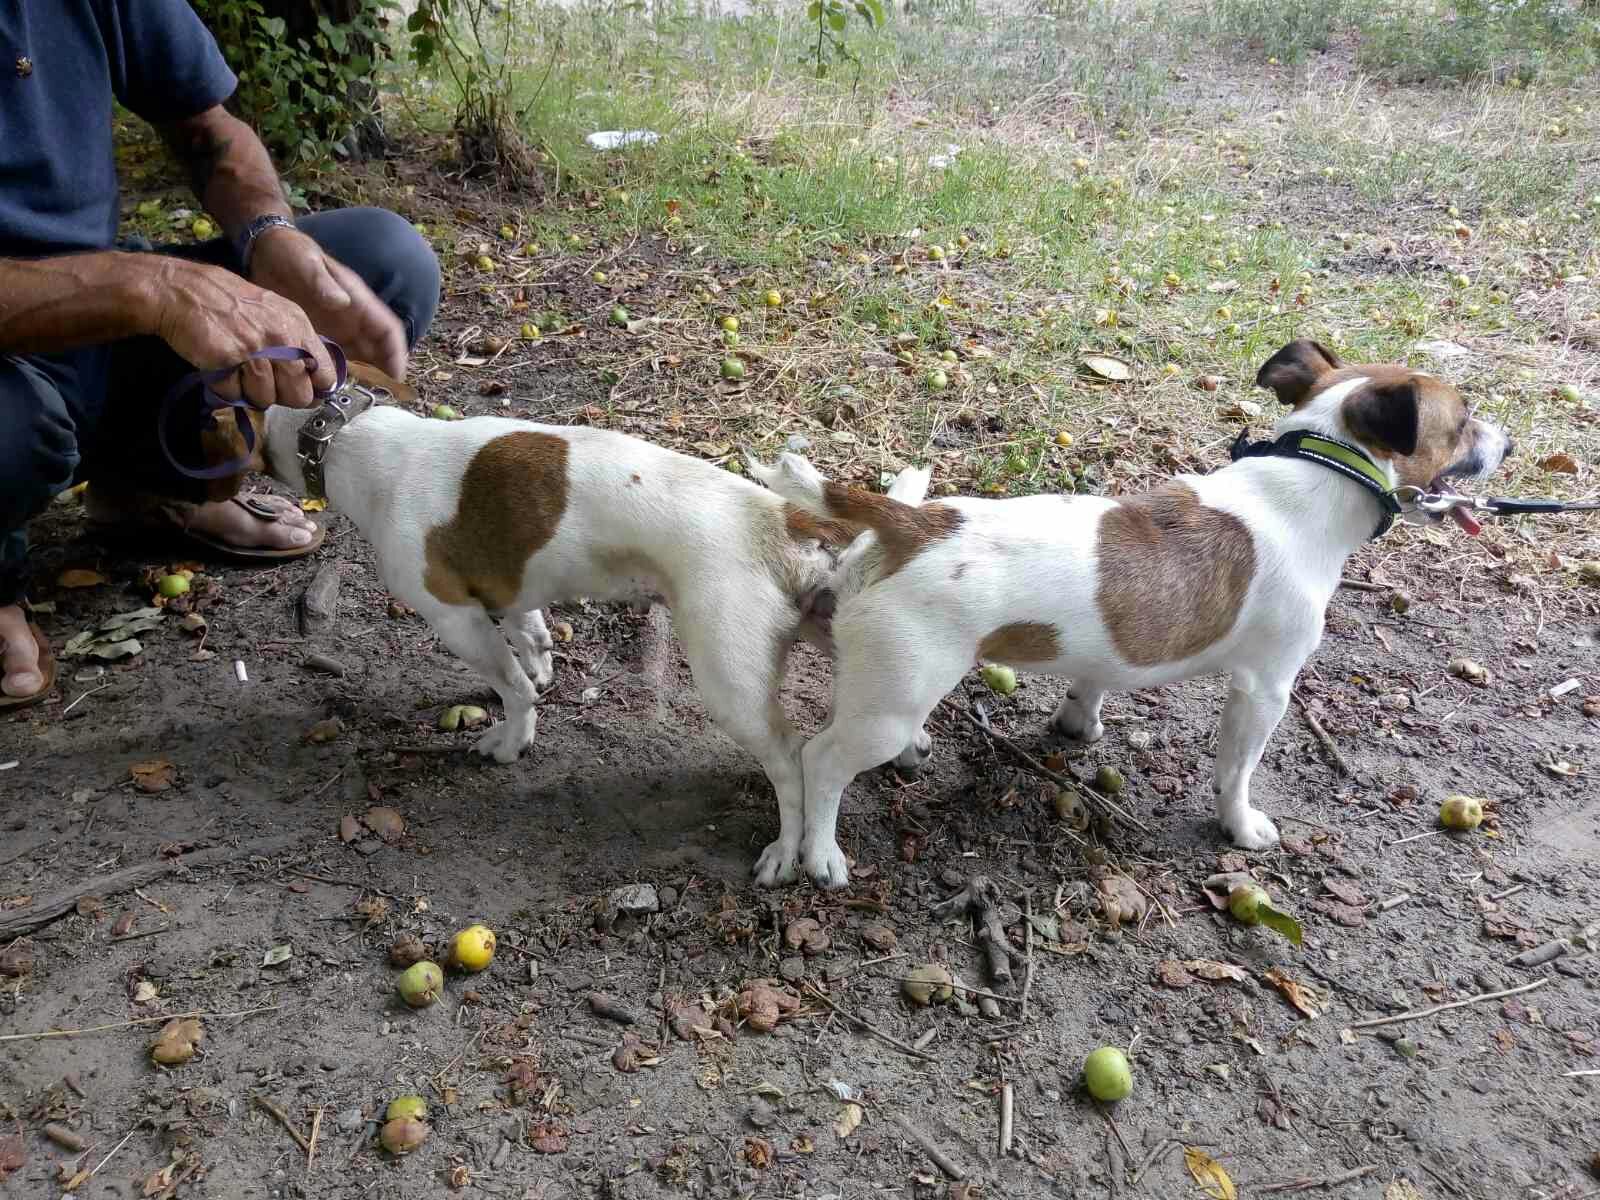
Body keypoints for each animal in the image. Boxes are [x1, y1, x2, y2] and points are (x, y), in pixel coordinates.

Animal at [748, 342, 1510, 889]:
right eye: (1464, 418)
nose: (1509, 442)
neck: (1317, 471)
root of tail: (916, 523)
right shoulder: (1264, 690)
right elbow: (1237, 771)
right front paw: (1241, 826)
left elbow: (1091, 682)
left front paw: (1079, 724)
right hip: (891, 700)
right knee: (821, 761)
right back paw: (820, 852)